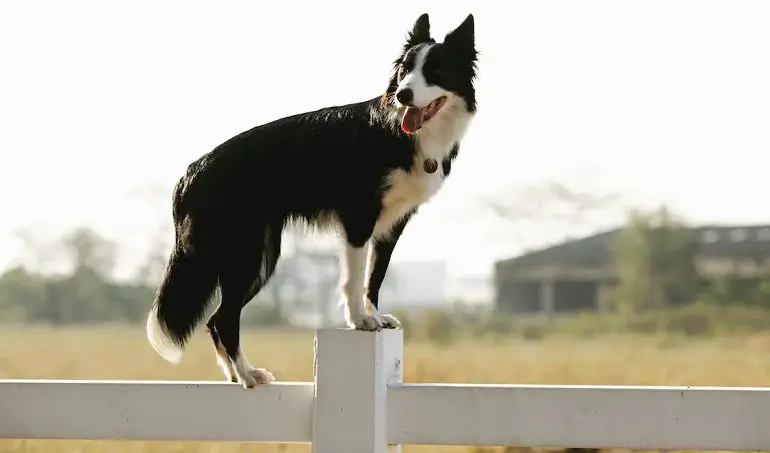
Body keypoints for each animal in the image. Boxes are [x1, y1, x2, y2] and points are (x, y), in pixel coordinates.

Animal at [146, 13, 474, 388]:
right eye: (405, 70)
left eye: (435, 71)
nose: (403, 95)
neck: (405, 133)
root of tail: (189, 174)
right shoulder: (358, 216)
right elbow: (354, 277)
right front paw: (359, 321)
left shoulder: (393, 223)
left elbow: (374, 278)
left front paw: (375, 317)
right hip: (245, 254)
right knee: (224, 318)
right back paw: (247, 375)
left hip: (261, 256)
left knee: (217, 319)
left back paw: (236, 373)